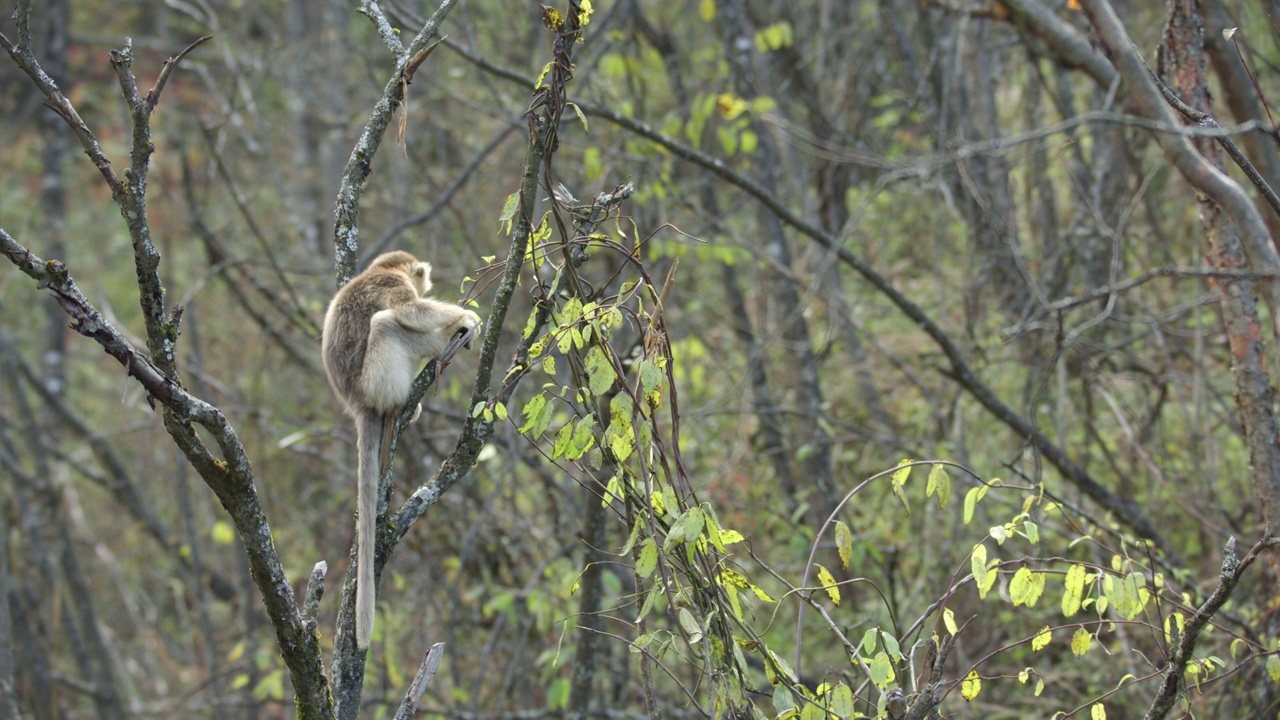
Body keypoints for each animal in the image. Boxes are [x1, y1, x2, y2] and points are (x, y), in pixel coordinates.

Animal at [320, 249, 481, 648]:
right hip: (377, 377)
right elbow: (410, 311)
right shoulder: (391, 283)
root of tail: (357, 402)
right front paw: (465, 316)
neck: (380, 269)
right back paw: (444, 340)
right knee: (387, 323)